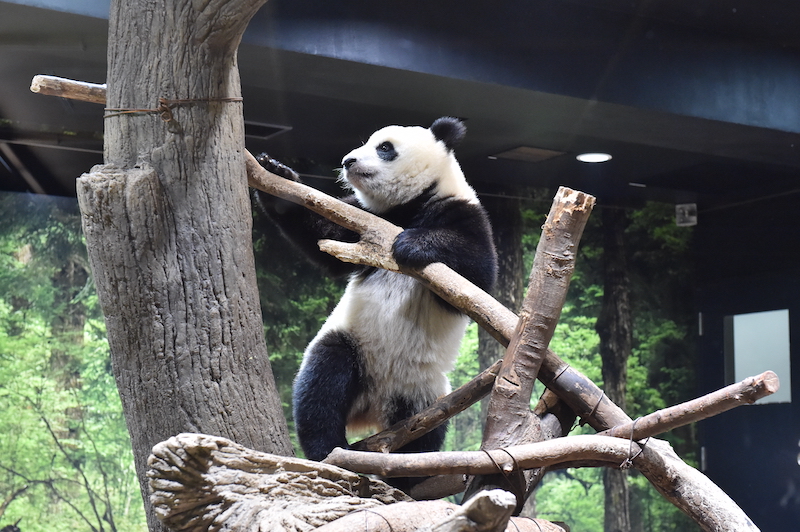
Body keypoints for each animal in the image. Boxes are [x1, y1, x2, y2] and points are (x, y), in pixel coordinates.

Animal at [256, 116, 496, 478]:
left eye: (384, 147)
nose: (347, 161)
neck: (407, 207)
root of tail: (372, 408)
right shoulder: (361, 221)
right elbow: (324, 238)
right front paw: (277, 175)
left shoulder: (463, 211)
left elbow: (479, 274)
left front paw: (412, 244)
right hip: (356, 348)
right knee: (323, 381)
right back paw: (328, 449)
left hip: (423, 390)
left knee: (424, 432)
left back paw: (410, 475)